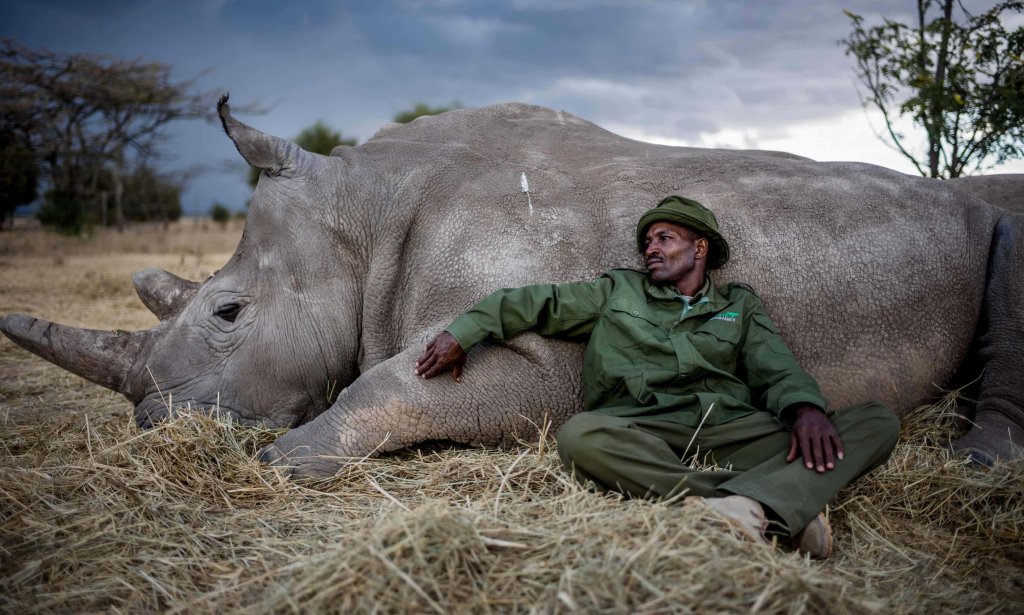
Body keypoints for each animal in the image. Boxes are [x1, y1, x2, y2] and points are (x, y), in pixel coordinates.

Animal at [2, 98, 1024, 476]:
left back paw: (976, 470)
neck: (362, 214)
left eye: (227, 312)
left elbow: (386, 387)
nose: (153, 429)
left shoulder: (547, 364)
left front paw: (284, 462)